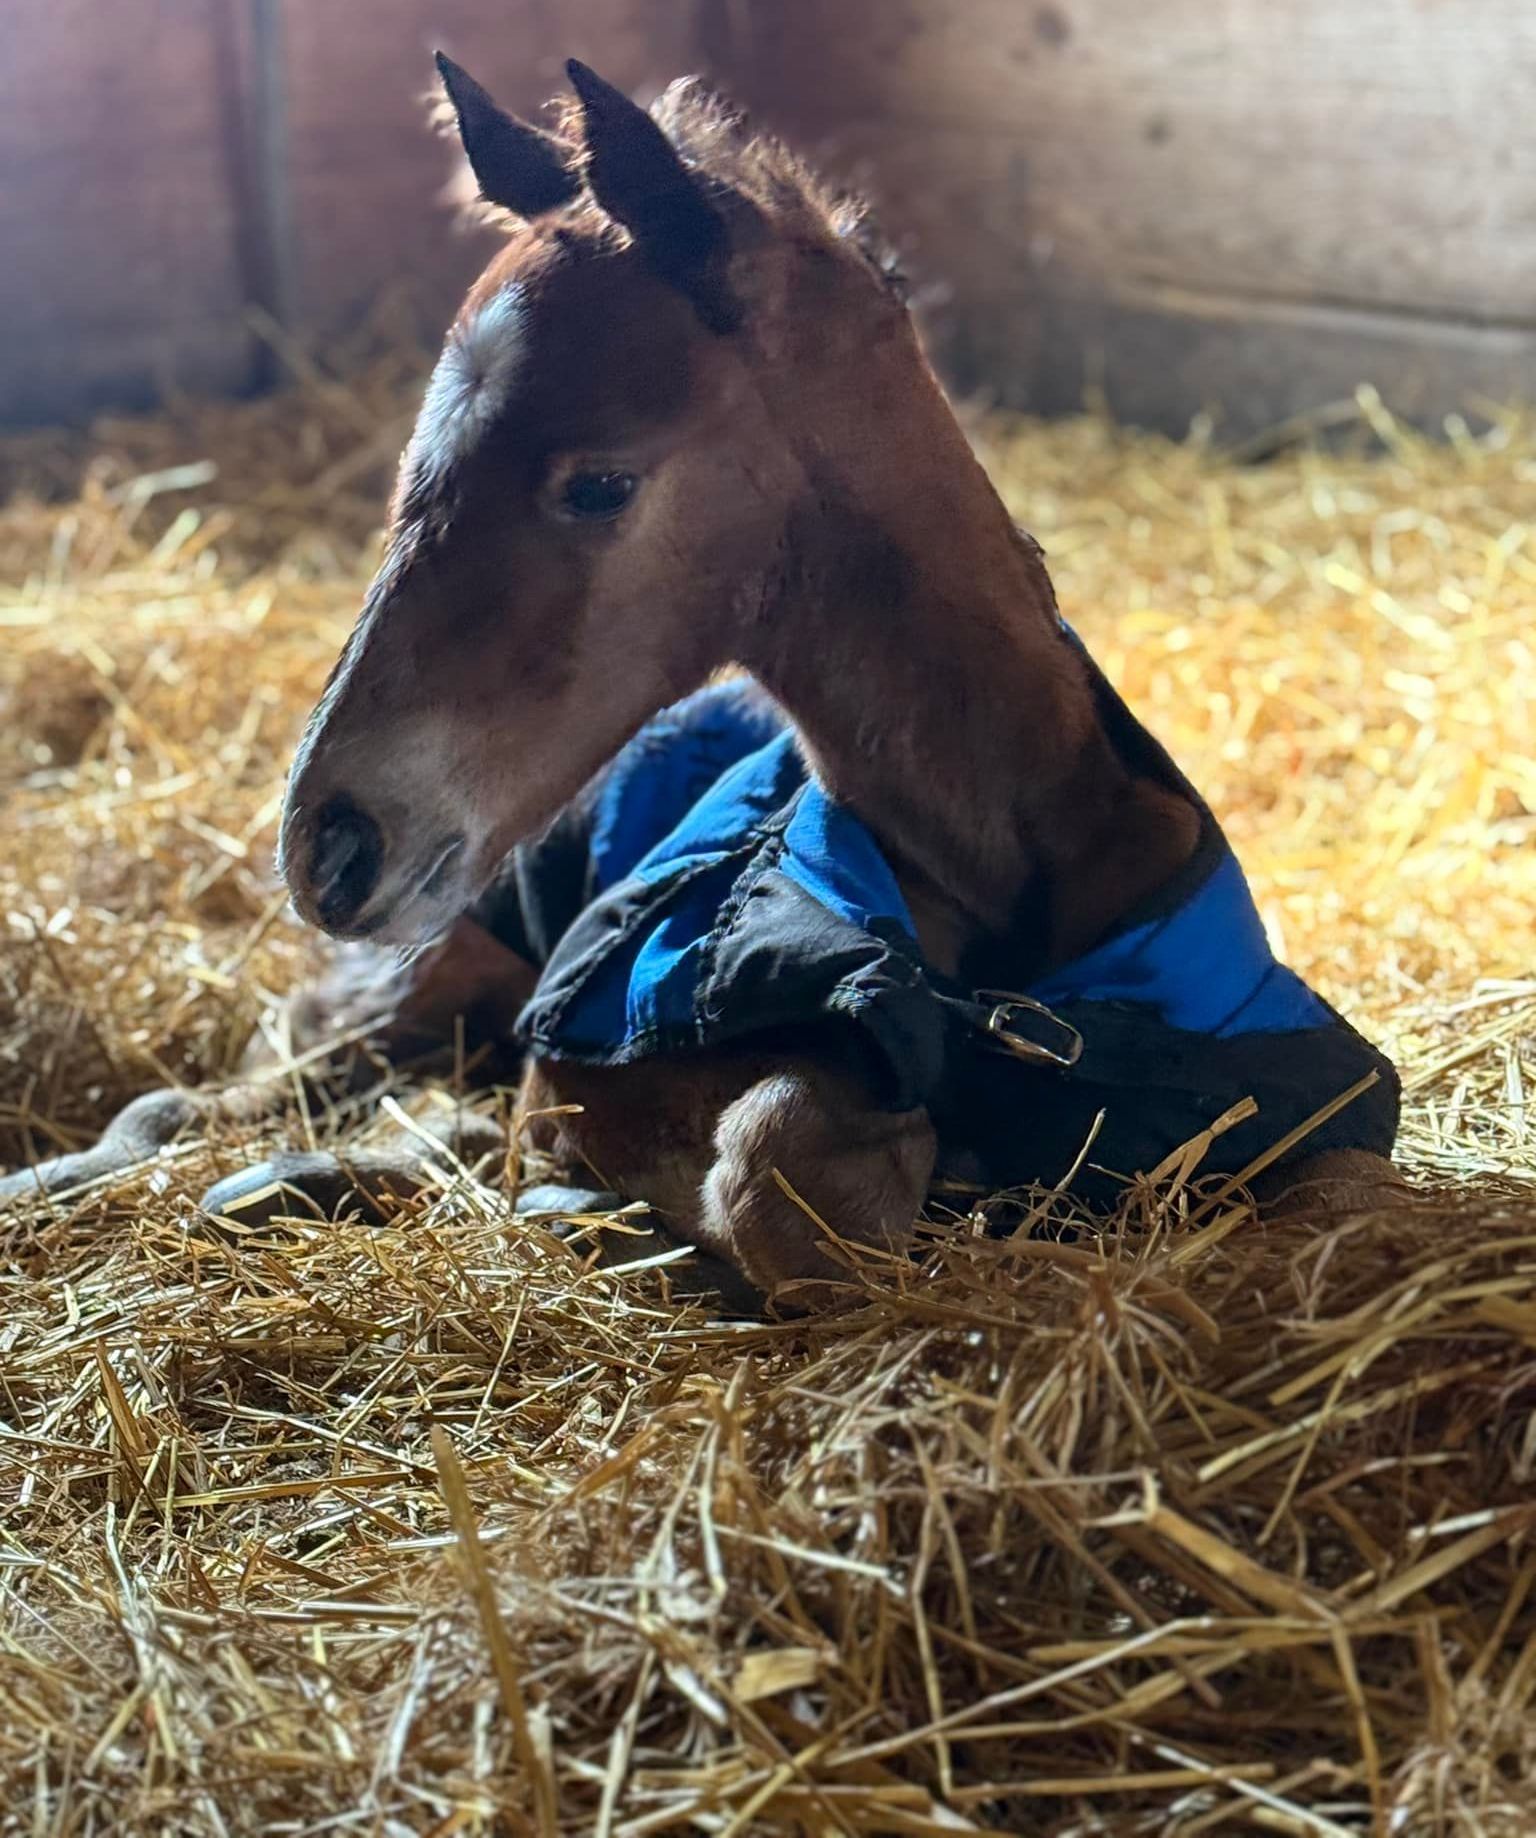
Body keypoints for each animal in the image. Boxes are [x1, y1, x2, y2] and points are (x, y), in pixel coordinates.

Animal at [0, 58, 1404, 1306]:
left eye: (600, 484)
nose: (328, 843)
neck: (1015, 894)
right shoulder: (585, 1034)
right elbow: (774, 1173)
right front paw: (586, 1199)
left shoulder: (1305, 1097)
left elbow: (1347, 1206)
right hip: (434, 964)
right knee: (199, 1096)